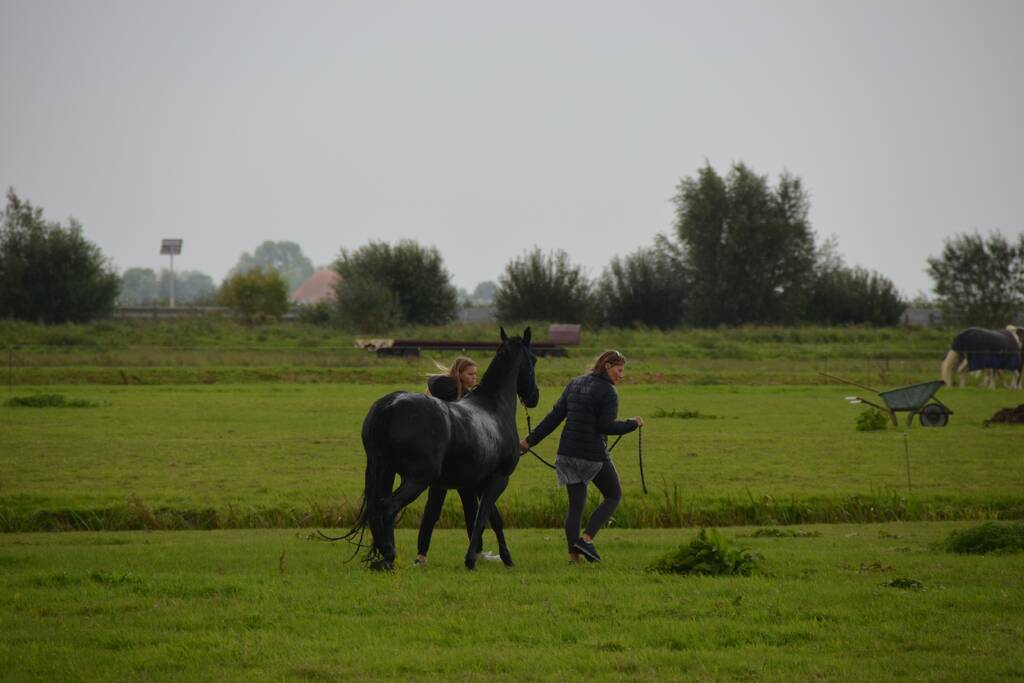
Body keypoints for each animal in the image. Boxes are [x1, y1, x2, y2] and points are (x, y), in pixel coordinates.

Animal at [343, 327, 539, 571]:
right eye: (534, 359)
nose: (534, 396)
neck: (493, 409)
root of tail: (390, 405)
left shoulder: (478, 483)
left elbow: (493, 519)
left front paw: (506, 557)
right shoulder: (499, 479)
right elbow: (482, 518)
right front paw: (471, 559)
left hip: (385, 471)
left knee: (375, 509)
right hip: (417, 479)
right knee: (388, 507)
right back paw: (389, 556)